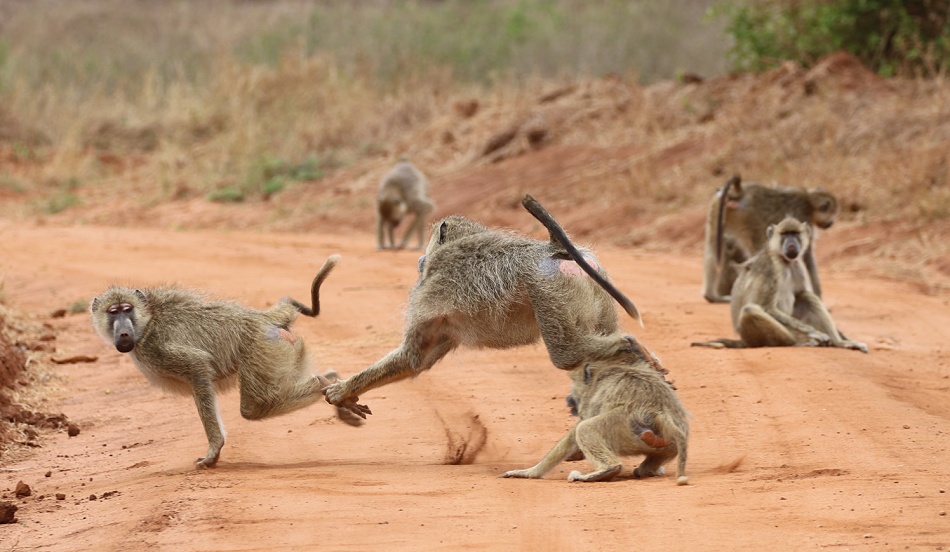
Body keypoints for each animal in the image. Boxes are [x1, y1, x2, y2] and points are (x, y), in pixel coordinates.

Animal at [90, 255, 371, 468]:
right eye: (113, 312)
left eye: (127, 310)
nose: (123, 333)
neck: (147, 321)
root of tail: (264, 317)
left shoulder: (159, 348)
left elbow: (198, 366)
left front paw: (214, 450)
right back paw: (334, 383)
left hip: (262, 349)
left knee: (252, 408)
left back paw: (326, 384)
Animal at [325, 194, 660, 414]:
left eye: (429, 251)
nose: (420, 261)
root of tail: (553, 249)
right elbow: (416, 361)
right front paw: (346, 393)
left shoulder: (431, 291)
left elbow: (410, 357)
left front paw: (343, 390)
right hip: (595, 286)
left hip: (547, 289)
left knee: (567, 354)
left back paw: (632, 347)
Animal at [500, 358, 689, 483]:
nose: (570, 400)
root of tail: (659, 411)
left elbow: (575, 432)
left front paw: (529, 472)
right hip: (666, 442)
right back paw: (647, 470)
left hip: (625, 429)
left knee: (585, 428)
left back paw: (607, 470)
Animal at [692, 217, 867, 352]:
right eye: (785, 234)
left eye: (795, 234)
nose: (791, 245)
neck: (783, 260)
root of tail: (743, 340)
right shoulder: (771, 267)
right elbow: (767, 306)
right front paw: (814, 332)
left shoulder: (797, 265)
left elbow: (800, 293)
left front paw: (842, 336)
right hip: (760, 335)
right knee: (750, 310)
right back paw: (799, 342)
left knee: (806, 296)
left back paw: (840, 342)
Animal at [702, 174, 839, 303]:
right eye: (831, 213)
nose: (831, 223)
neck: (809, 202)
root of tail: (739, 192)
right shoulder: (803, 219)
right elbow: (806, 255)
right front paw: (818, 297)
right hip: (748, 219)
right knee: (756, 249)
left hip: (718, 208)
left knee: (713, 249)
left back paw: (711, 296)